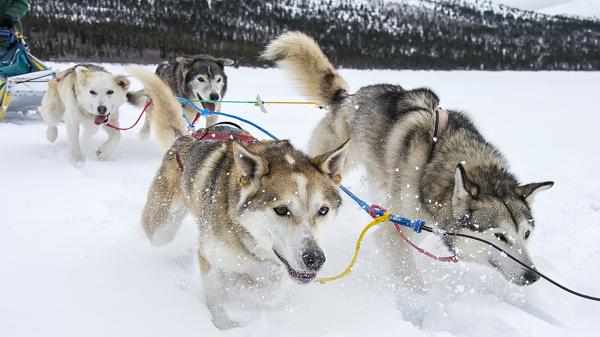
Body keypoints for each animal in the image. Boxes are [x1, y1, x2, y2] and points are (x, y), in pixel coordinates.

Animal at [127, 65, 352, 328]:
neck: (249, 239)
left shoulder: (273, 271)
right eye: (282, 210)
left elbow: (267, 286)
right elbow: (217, 299)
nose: (315, 259)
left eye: (323, 210)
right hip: (161, 228)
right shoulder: (210, 259)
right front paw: (226, 325)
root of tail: (186, 137)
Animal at [264, 32, 556, 292]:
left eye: (526, 234)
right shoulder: (394, 233)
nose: (533, 276)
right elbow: (412, 278)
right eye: (499, 236)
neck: (435, 162)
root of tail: (347, 97)